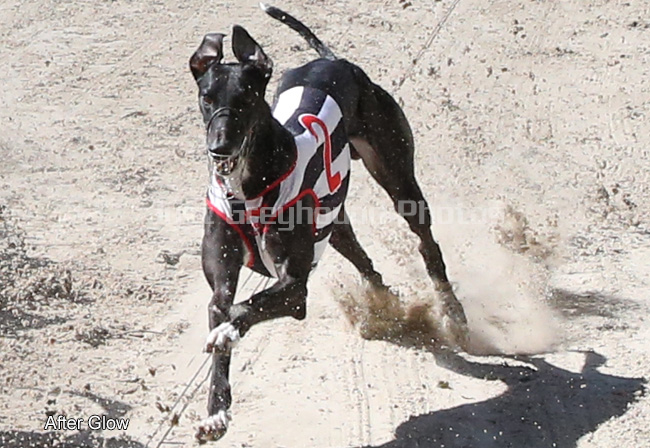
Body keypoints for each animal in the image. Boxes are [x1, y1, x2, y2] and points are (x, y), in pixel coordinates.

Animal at [189, 4, 469, 442]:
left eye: (247, 99)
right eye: (207, 97)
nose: (220, 148)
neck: (251, 188)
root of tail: (335, 61)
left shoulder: (294, 290)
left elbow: (244, 309)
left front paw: (228, 333)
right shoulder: (220, 283)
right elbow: (223, 312)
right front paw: (216, 414)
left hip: (398, 178)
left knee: (427, 243)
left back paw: (451, 309)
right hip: (335, 226)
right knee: (368, 265)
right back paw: (386, 305)